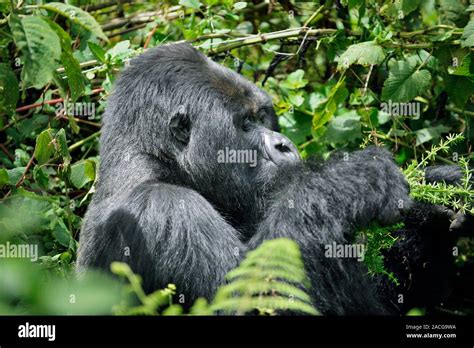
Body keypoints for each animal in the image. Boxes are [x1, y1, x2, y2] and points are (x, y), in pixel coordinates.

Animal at [76, 42, 468, 314]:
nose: (284, 145)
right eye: (247, 123)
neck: (157, 161)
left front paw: (434, 202)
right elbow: (252, 300)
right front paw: (350, 181)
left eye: (264, 116)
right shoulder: (164, 209)